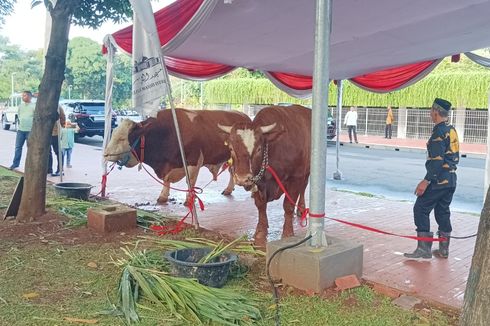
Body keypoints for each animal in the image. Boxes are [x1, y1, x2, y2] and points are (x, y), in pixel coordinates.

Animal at [102, 109, 249, 204]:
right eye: (113, 133)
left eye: (122, 139)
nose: (105, 154)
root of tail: (244, 115)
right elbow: (166, 181)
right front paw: (163, 196)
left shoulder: (194, 161)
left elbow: (190, 182)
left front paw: (189, 199)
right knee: (232, 171)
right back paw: (229, 189)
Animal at [218, 105, 310, 246]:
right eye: (232, 149)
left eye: (259, 149)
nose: (242, 178)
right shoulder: (257, 181)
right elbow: (260, 205)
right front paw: (261, 231)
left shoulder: (296, 177)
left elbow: (288, 206)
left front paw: (288, 233)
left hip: (307, 171)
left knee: (303, 188)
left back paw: (301, 208)